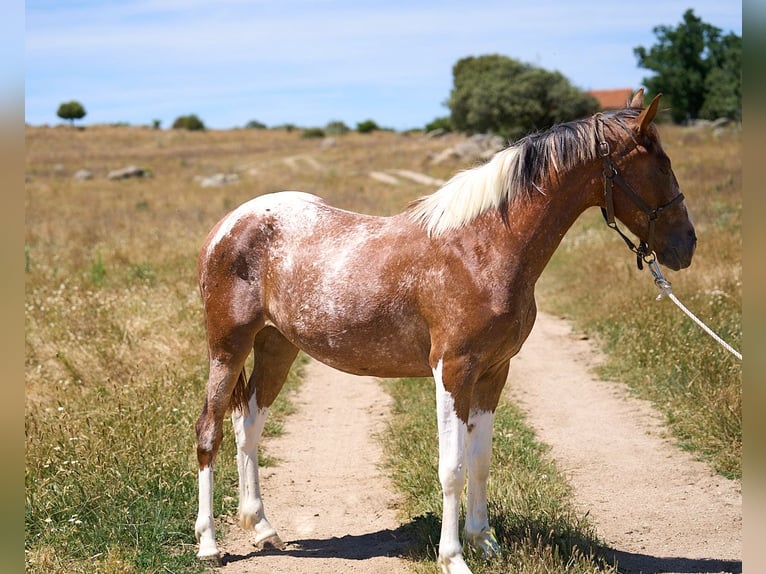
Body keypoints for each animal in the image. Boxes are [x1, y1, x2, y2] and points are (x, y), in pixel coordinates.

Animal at [192, 91, 696, 574]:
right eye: (660, 164)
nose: (686, 245)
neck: (482, 246)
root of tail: (226, 225)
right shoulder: (452, 370)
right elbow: (451, 467)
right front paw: (453, 557)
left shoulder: (494, 372)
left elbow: (480, 460)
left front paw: (483, 542)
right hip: (227, 347)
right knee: (209, 430)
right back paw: (209, 545)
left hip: (276, 346)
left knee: (248, 424)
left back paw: (262, 527)